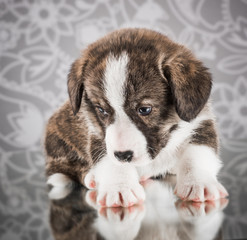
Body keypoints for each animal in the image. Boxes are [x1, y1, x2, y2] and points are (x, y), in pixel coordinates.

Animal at [44, 28, 228, 207]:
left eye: (145, 109)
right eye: (101, 110)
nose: (123, 155)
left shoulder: (200, 123)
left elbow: (197, 156)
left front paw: (199, 183)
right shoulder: (98, 135)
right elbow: (111, 162)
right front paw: (120, 187)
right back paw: (91, 177)